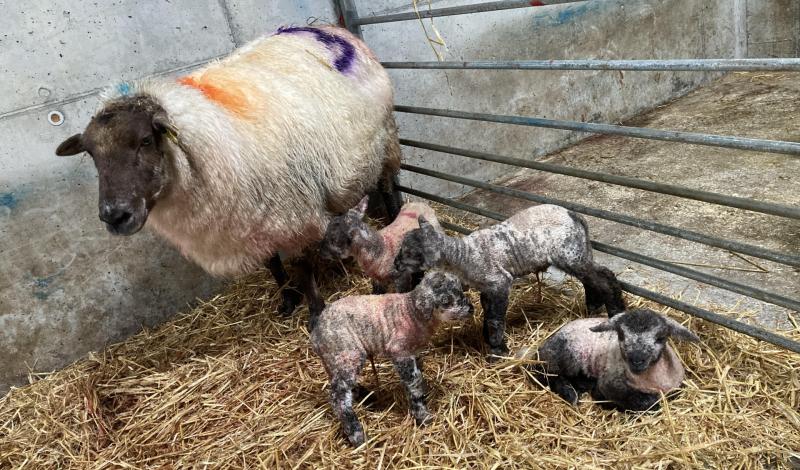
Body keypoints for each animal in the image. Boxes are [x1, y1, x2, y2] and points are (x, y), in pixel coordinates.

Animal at [54, 25, 403, 319]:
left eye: (145, 140)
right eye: (91, 153)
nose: (115, 216)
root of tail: (328, 29)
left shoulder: (294, 212)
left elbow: (302, 266)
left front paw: (315, 311)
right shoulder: (251, 214)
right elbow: (271, 261)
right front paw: (287, 300)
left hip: (385, 140)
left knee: (387, 186)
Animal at [310, 270, 473, 446]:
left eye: (460, 290)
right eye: (446, 301)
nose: (471, 309)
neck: (411, 312)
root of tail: (316, 336)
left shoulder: (413, 351)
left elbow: (418, 374)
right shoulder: (399, 351)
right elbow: (414, 383)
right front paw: (422, 415)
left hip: (333, 359)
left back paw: (366, 396)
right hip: (347, 353)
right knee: (338, 397)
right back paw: (357, 435)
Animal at [393, 204, 625, 360]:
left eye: (409, 252)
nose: (394, 264)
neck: (463, 255)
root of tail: (574, 215)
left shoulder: (499, 283)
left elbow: (495, 319)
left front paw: (498, 351)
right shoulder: (487, 288)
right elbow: (488, 314)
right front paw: (489, 341)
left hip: (569, 253)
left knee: (605, 278)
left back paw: (615, 310)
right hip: (579, 252)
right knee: (593, 279)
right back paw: (594, 307)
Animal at [519, 308, 699, 411]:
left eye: (660, 338)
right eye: (621, 335)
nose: (636, 360)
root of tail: (543, 347)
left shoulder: (677, 387)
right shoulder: (608, 384)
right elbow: (647, 403)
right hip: (566, 356)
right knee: (543, 374)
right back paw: (571, 394)